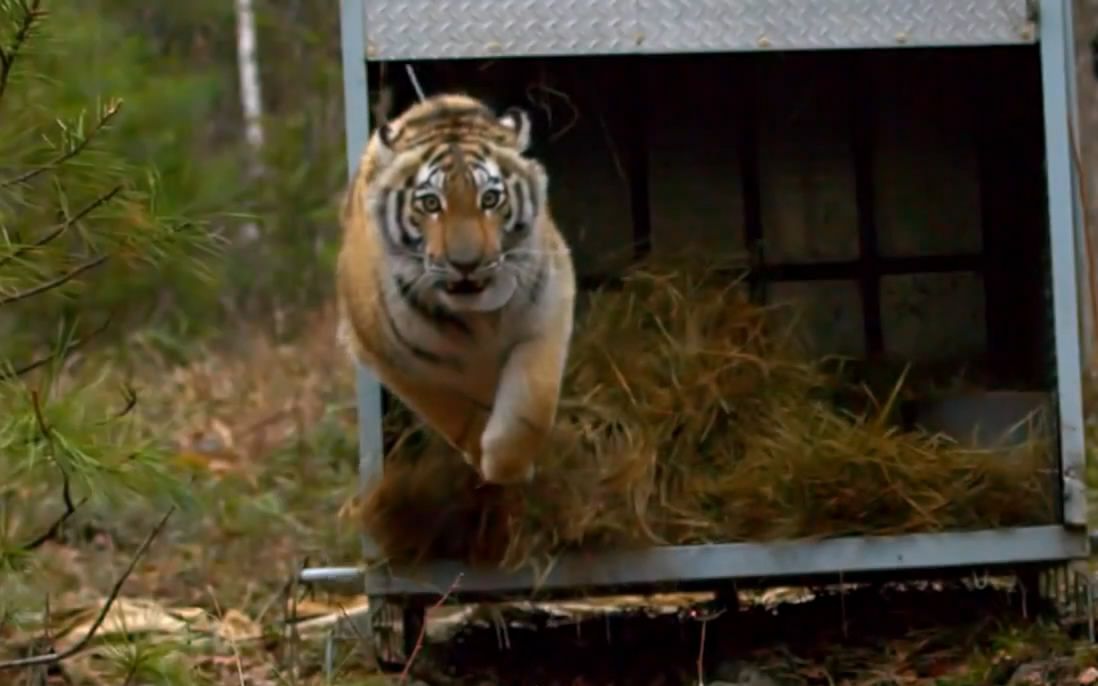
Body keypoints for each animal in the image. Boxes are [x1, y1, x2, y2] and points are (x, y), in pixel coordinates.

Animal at [331, 93, 575, 485]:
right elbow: (451, 412)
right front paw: (483, 456)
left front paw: (508, 466)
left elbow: (531, 404)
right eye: (430, 203)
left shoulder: (549, 309)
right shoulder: (386, 355)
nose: (466, 263)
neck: (479, 318)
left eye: (490, 199)